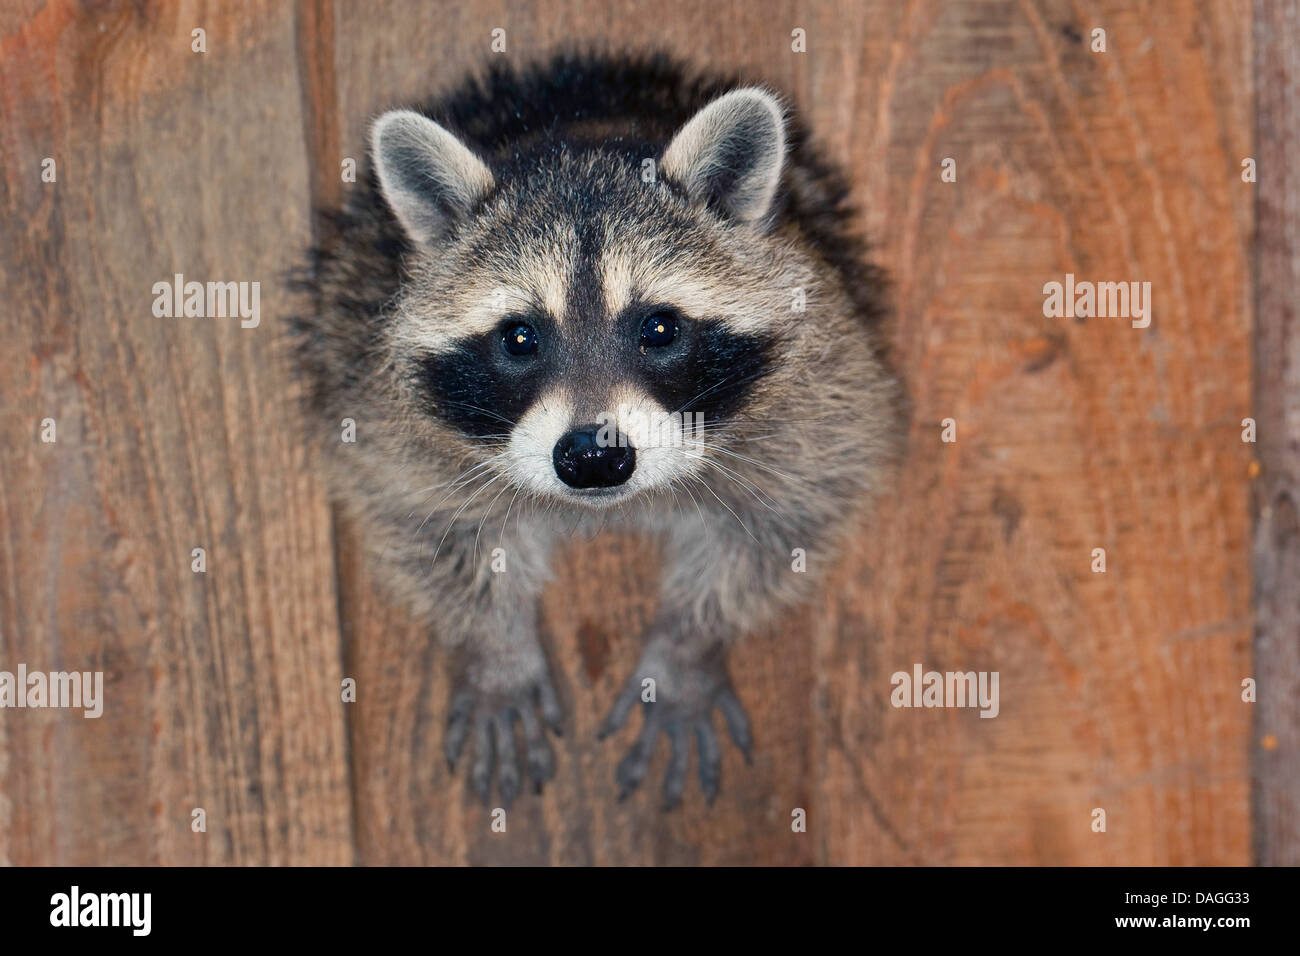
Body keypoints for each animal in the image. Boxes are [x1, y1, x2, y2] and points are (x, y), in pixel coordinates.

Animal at [293, 51, 903, 809]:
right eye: (519, 337)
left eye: (660, 329)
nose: (592, 457)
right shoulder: (380, 407)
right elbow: (424, 519)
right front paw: (497, 648)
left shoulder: (821, 387)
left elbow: (785, 519)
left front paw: (688, 645)